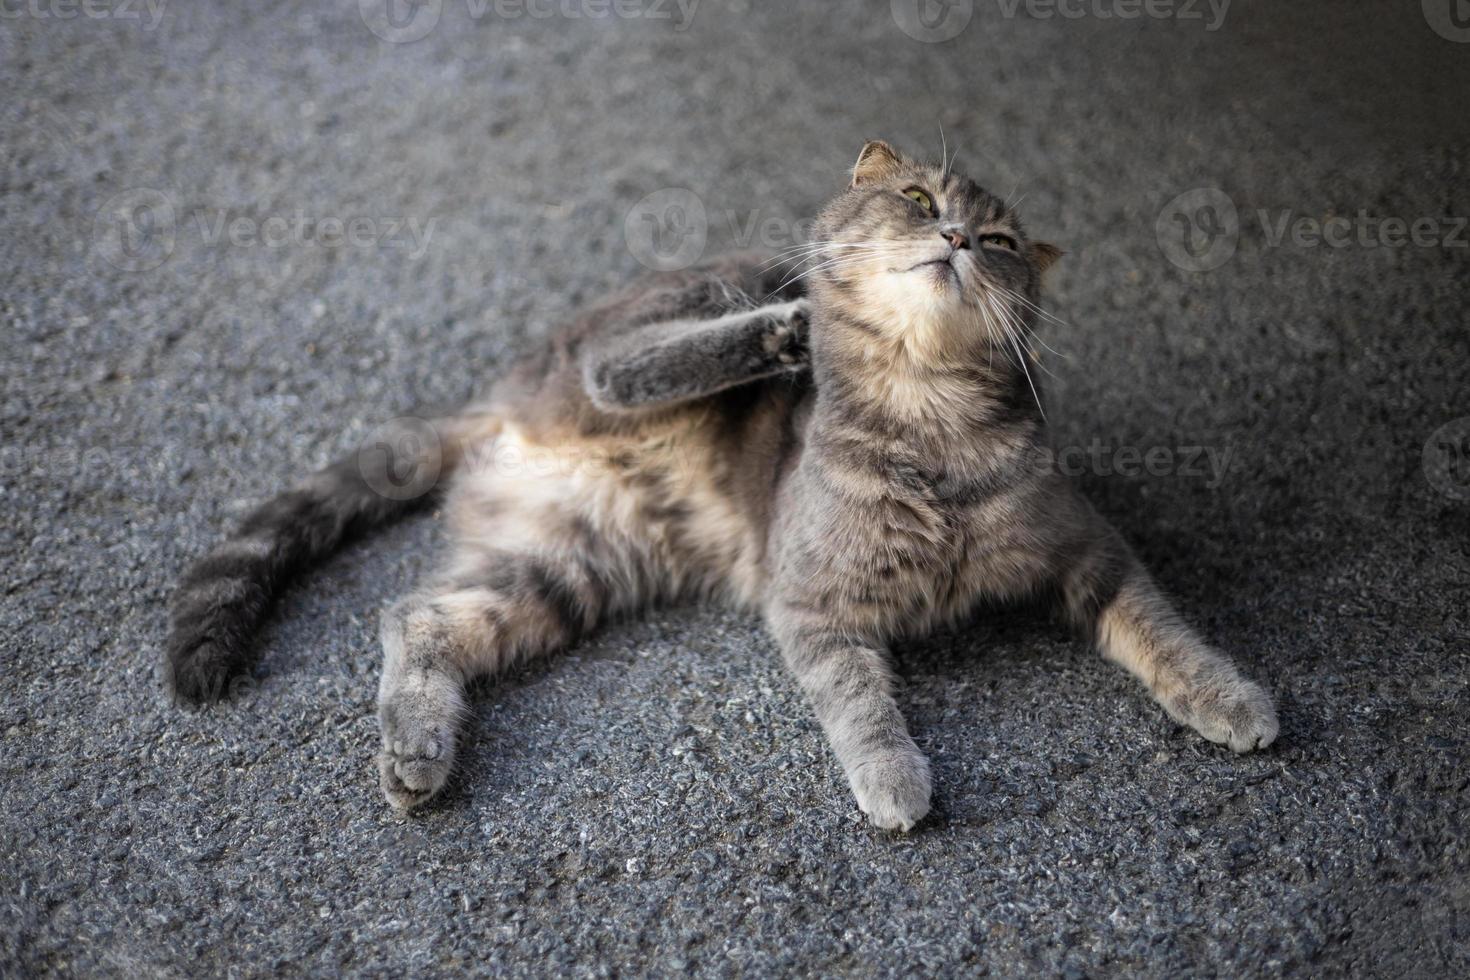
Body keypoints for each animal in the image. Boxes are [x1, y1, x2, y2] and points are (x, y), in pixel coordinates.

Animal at [169, 138, 1275, 828]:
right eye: (920, 200)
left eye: (1001, 243)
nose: (960, 239)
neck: (927, 420)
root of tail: (501, 400)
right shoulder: (812, 603)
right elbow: (861, 702)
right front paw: (894, 780)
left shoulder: (1092, 550)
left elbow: (1165, 628)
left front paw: (1228, 697)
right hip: (689, 301)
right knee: (614, 363)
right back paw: (777, 335)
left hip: (565, 568)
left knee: (416, 615)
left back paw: (417, 750)